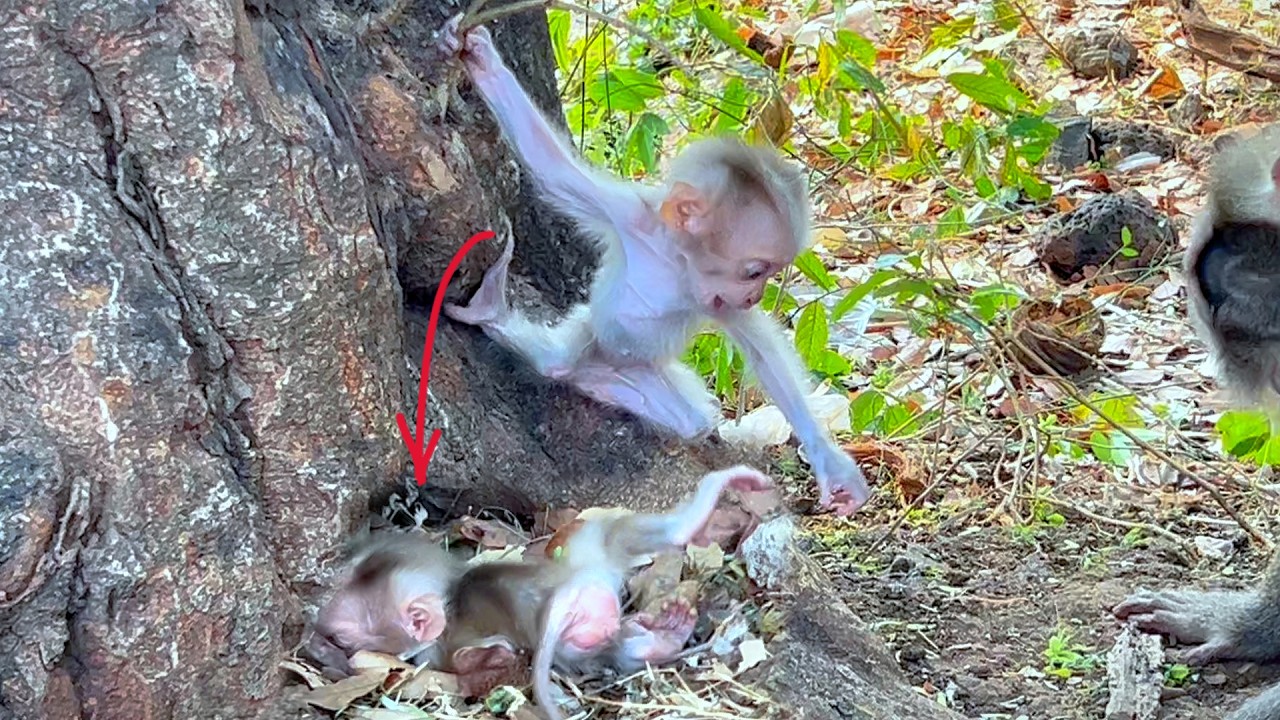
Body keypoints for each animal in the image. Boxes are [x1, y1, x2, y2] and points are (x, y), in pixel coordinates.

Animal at [437, 18, 871, 516]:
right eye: (755, 271)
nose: (757, 294)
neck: (675, 261)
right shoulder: (628, 215)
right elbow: (555, 172)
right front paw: (483, 63)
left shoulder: (716, 299)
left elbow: (762, 351)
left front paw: (829, 460)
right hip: (592, 334)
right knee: (559, 362)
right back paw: (495, 313)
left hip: (640, 365)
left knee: (687, 417)